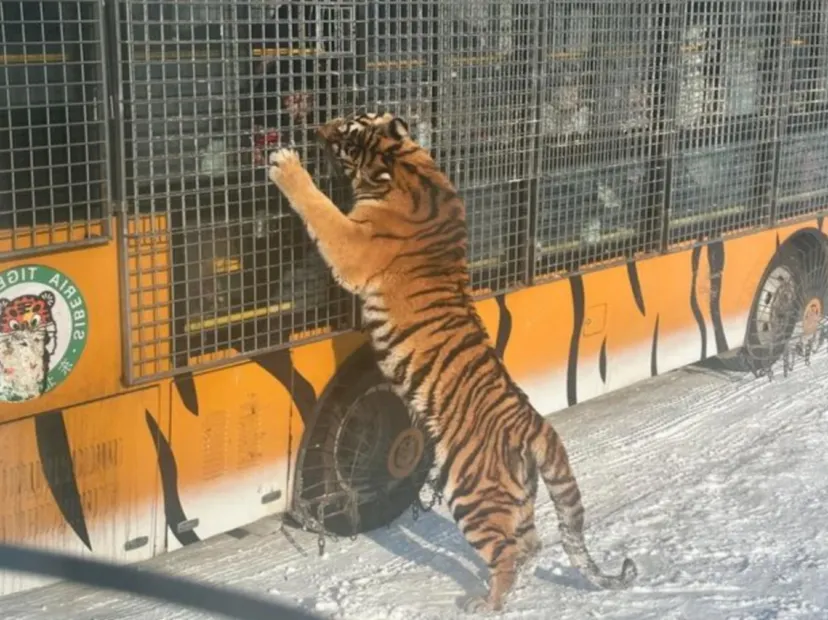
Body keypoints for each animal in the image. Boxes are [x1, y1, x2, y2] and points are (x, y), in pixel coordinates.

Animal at [267, 112, 637, 612]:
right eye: (350, 119)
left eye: (344, 136)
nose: (316, 128)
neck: (408, 166)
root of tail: (535, 424)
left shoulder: (354, 245)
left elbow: (321, 209)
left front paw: (286, 166)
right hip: (515, 493)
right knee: (530, 542)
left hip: (473, 493)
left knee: (506, 551)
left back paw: (484, 604)